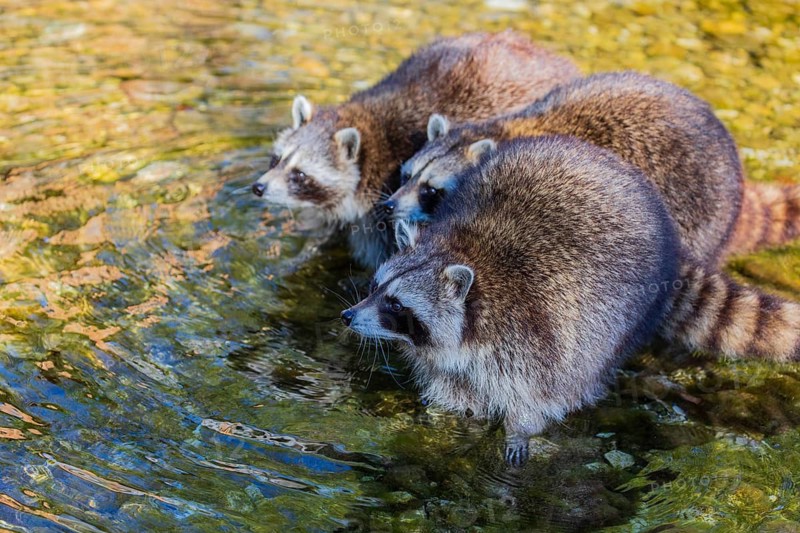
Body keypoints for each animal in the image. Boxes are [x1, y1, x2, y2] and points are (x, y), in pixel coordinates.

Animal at [344, 136, 800, 465]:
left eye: (396, 305)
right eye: (374, 287)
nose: (349, 316)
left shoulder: (532, 335)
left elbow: (541, 394)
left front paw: (519, 429)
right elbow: (456, 387)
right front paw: (448, 416)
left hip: (624, 310)